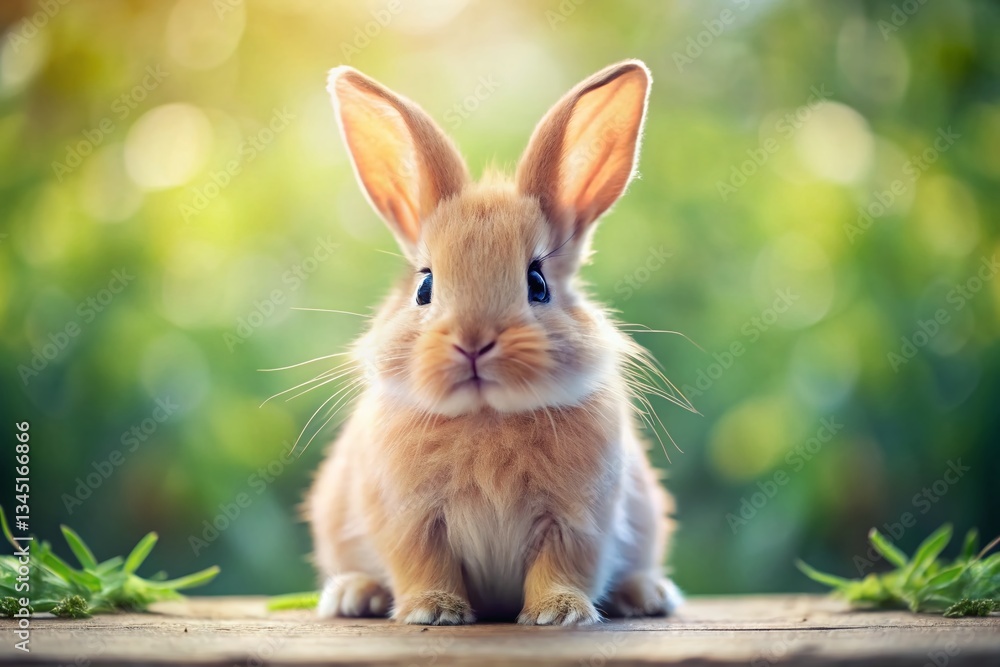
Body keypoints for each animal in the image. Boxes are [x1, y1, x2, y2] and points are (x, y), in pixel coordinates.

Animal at [305, 59, 682, 626]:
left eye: (538, 283)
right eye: (424, 287)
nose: (474, 341)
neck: (486, 417)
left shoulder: (579, 520)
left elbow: (562, 565)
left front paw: (558, 614)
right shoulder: (410, 520)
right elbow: (424, 564)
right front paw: (434, 612)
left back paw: (647, 595)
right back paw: (355, 595)